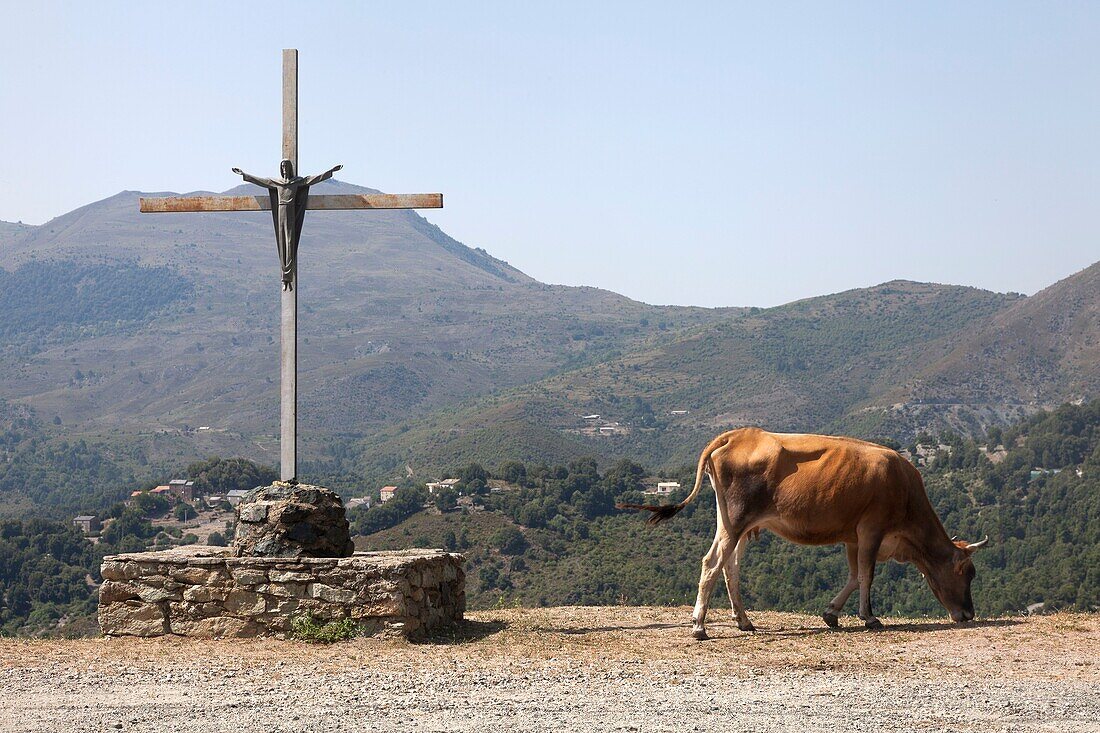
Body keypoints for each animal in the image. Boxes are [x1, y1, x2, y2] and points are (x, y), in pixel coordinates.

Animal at [620, 424, 990, 638]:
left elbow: (855, 575)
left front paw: (831, 614)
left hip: (736, 523)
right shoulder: (872, 529)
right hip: (735, 520)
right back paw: (699, 625)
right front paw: (869, 617)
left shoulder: (853, 536)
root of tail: (738, 433)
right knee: (712, 563)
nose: (968, 614)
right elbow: (868, 575)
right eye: (966, 572)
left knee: (730, 567)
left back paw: (744, 621)